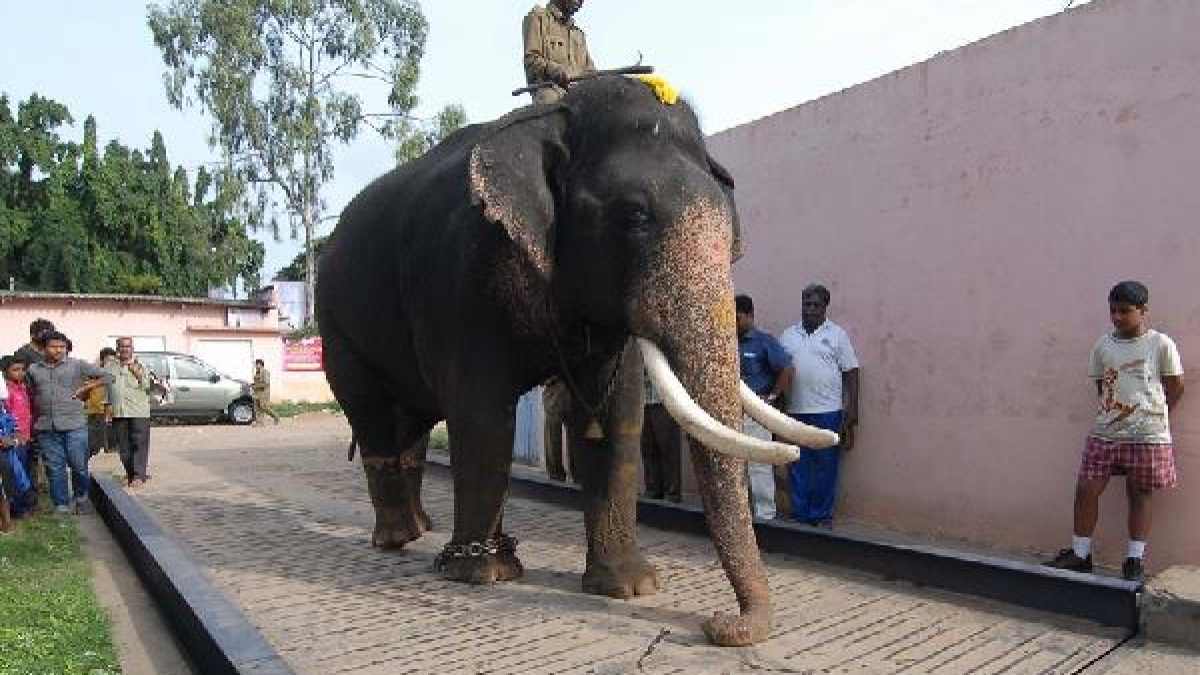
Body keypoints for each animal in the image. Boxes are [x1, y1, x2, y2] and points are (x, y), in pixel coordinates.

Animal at [316, 75, 837, 646]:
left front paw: (630, 588)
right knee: (373, 415)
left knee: (410, 423)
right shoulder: (459, 277)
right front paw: (484, 575)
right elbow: (482, 416)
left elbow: (618, 416)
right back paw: (399, 539)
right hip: (336, 323)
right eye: (634, 215)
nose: (721, 623)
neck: (559, 116)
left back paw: (421, 531)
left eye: (732, 231)